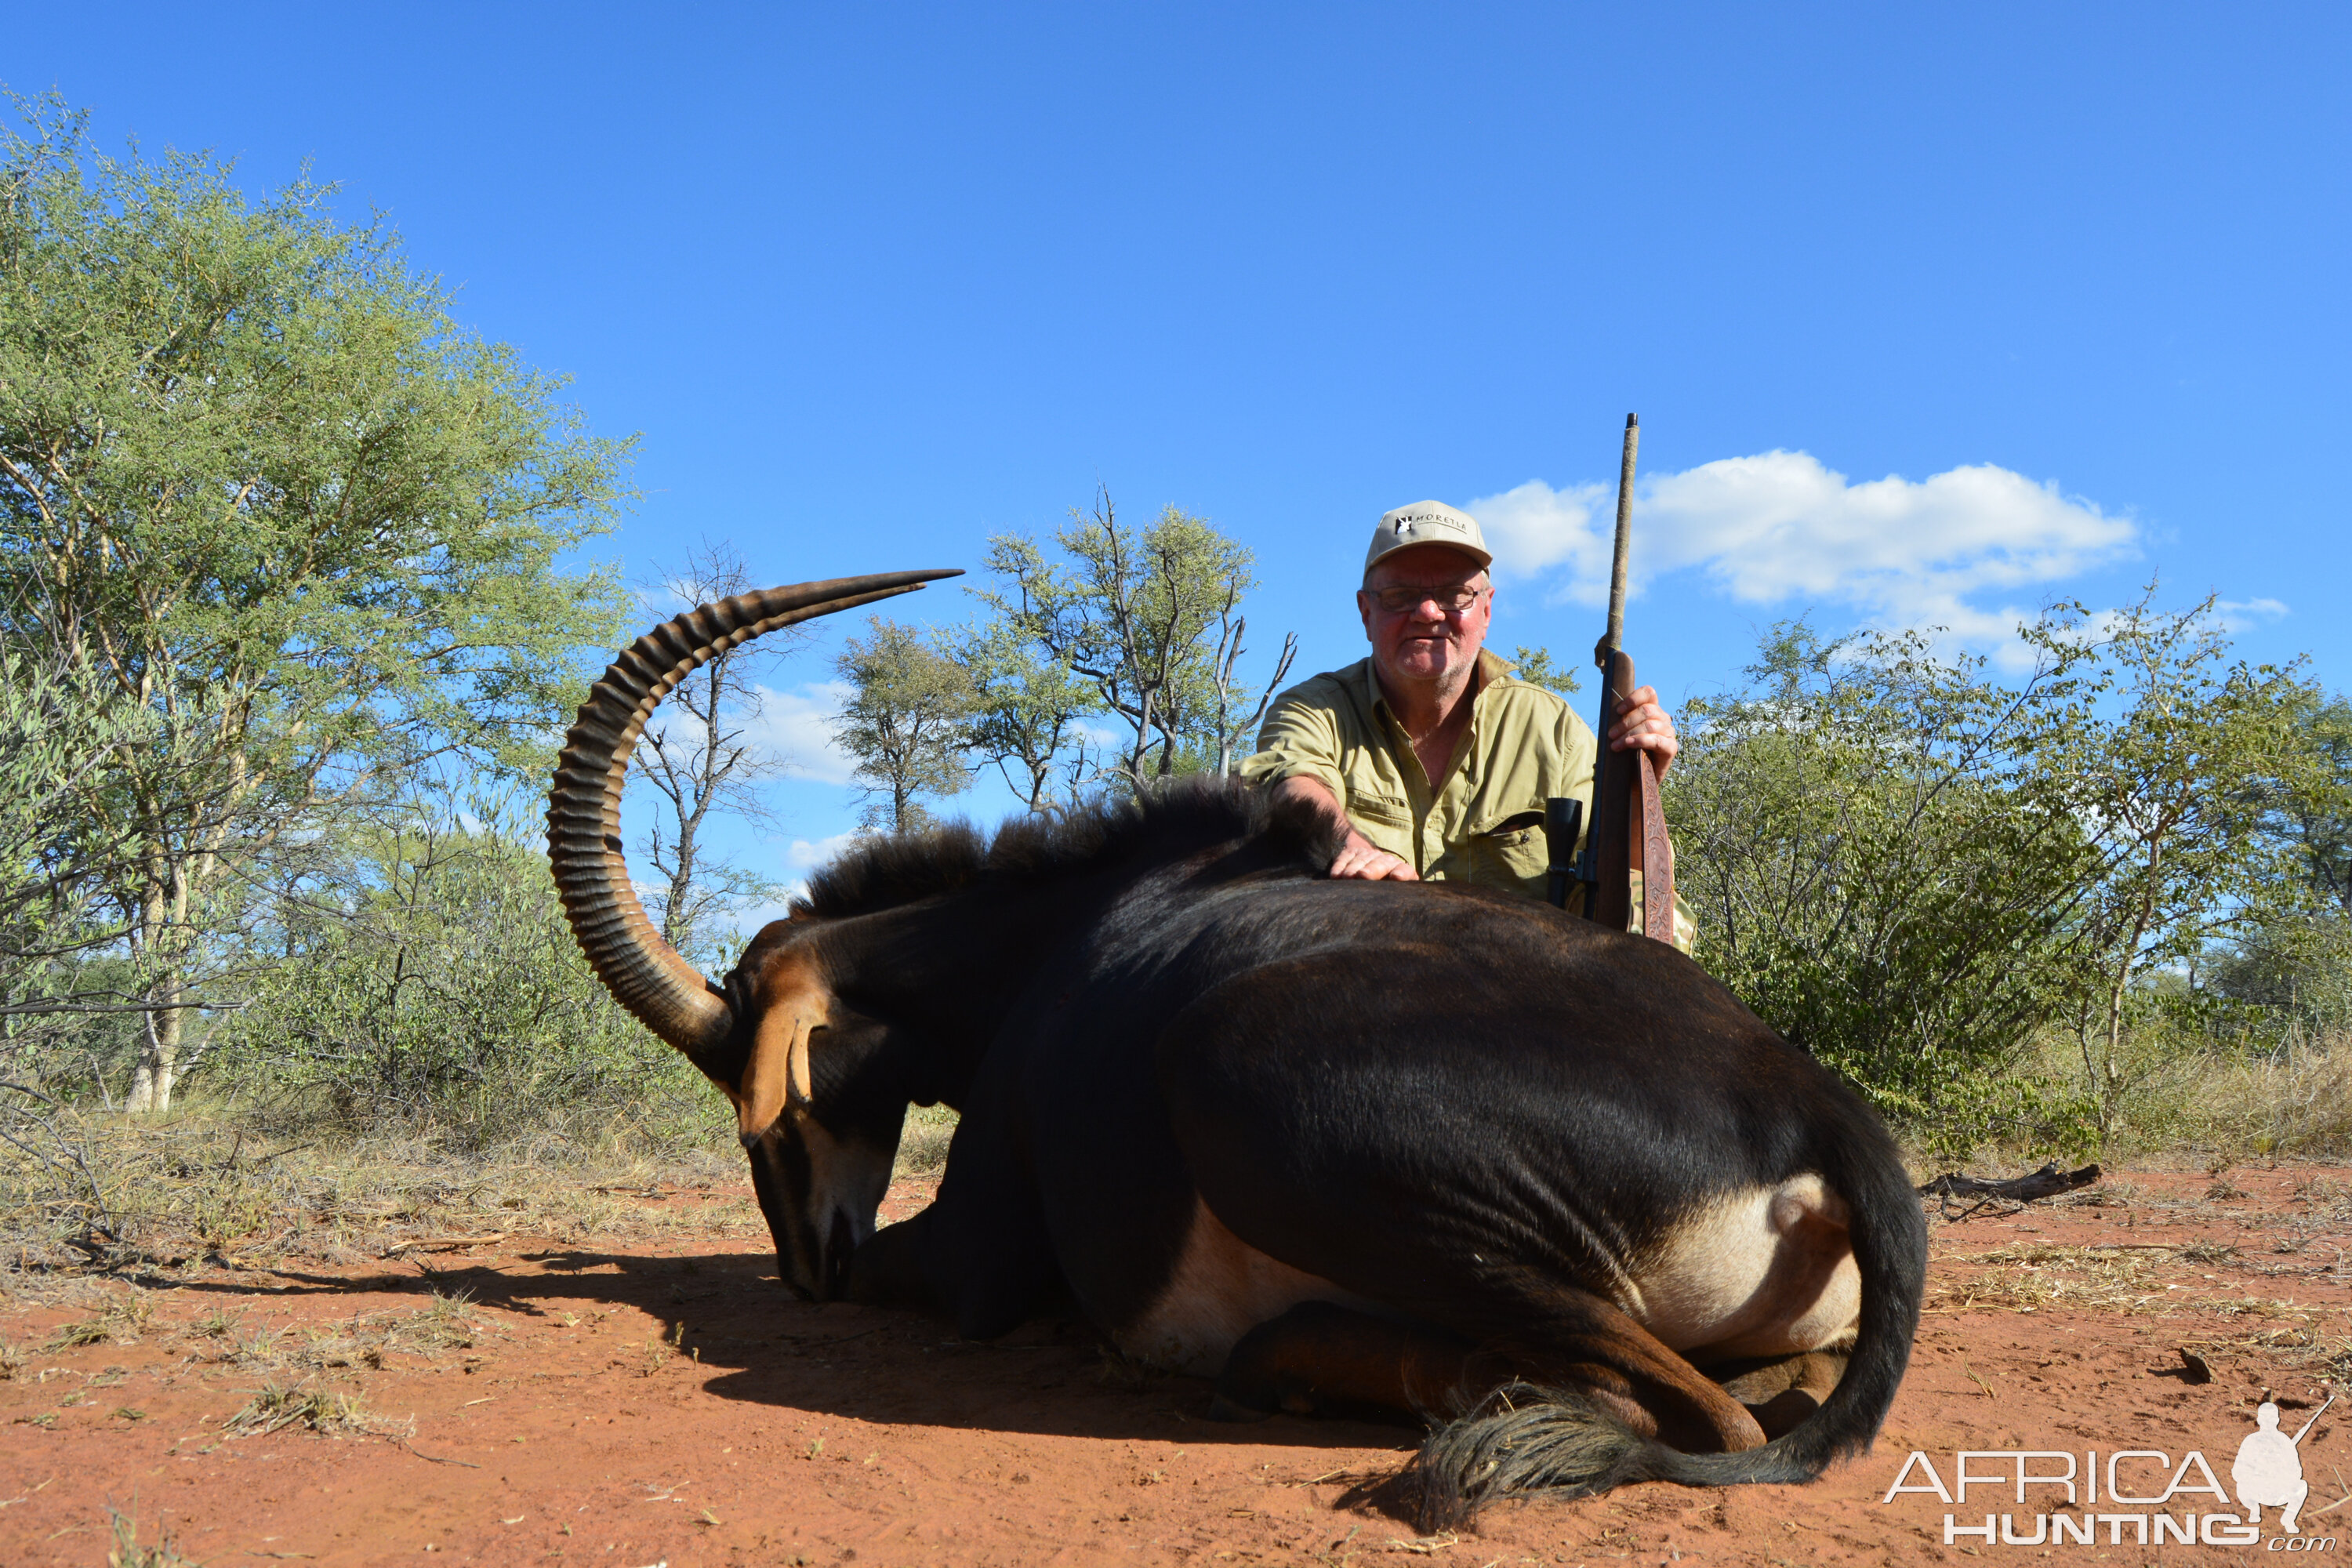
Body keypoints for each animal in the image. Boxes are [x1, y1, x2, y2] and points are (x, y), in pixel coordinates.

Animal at [550, 573, 1929, 1523]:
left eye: (770, 1109)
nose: (808, 1272)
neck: (1055, 935)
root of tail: (1812, 1104)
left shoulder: (978, 1259)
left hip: (1241, 1072)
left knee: (1693, 1415)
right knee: (1752, 1398)